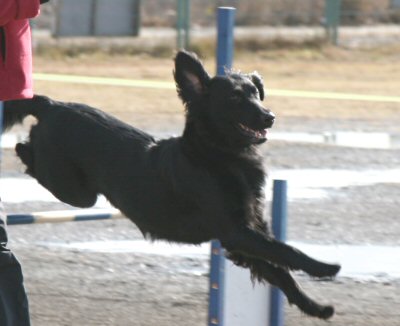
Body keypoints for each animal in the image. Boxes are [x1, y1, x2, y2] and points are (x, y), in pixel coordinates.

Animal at [3, 51, 340, 318]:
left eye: (256, 93)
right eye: (234, 97)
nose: (270, 117)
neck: (219, 155)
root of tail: (52, 104)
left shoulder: (243, 235)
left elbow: (279, 271)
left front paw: (315, 307)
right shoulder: (236, 231)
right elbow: (286, 251)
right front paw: (324, 267)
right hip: (77, 192)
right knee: (28, 152)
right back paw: (21, 149)